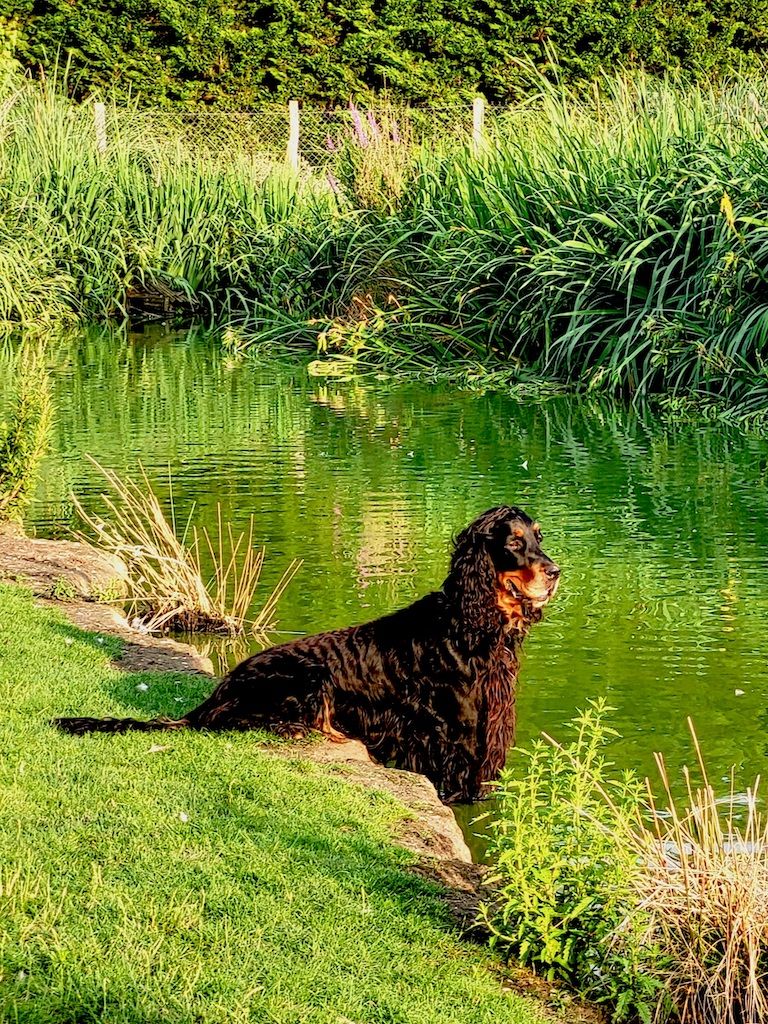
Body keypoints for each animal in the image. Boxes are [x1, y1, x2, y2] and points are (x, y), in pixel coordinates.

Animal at [55, 507, 561, 802]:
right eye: (514, 543)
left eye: (539, 537)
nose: (555, 571)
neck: (470, 623)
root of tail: (217, 691)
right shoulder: (459, 742)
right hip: (308, 677)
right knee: (235, 721)